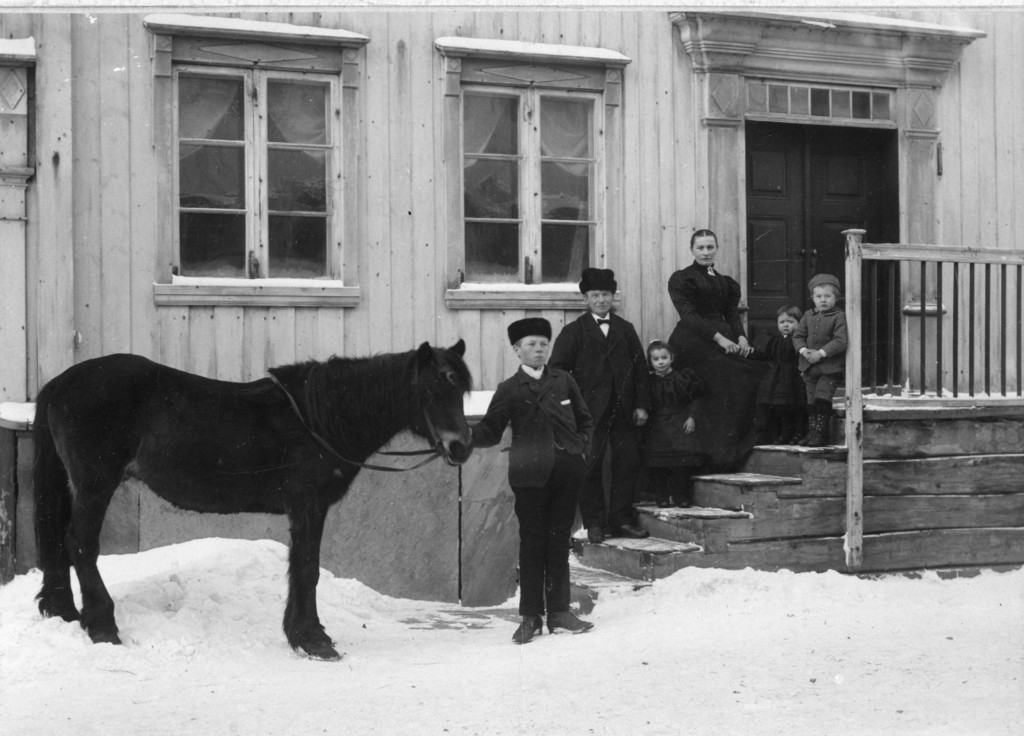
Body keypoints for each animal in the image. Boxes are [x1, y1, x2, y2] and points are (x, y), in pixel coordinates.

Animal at [34, 341, 473, 659]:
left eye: (462, 388)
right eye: (432, 387)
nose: (462, 447)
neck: (318, 419)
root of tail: (60, 382)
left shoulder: (302, 510)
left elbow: (299, 568)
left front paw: (302, 633)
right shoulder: (309, 505)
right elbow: (308, 569)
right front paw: (314, 640)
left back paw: (66, 612)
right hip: (96, 484)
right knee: (80, 543)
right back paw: (102, 625)